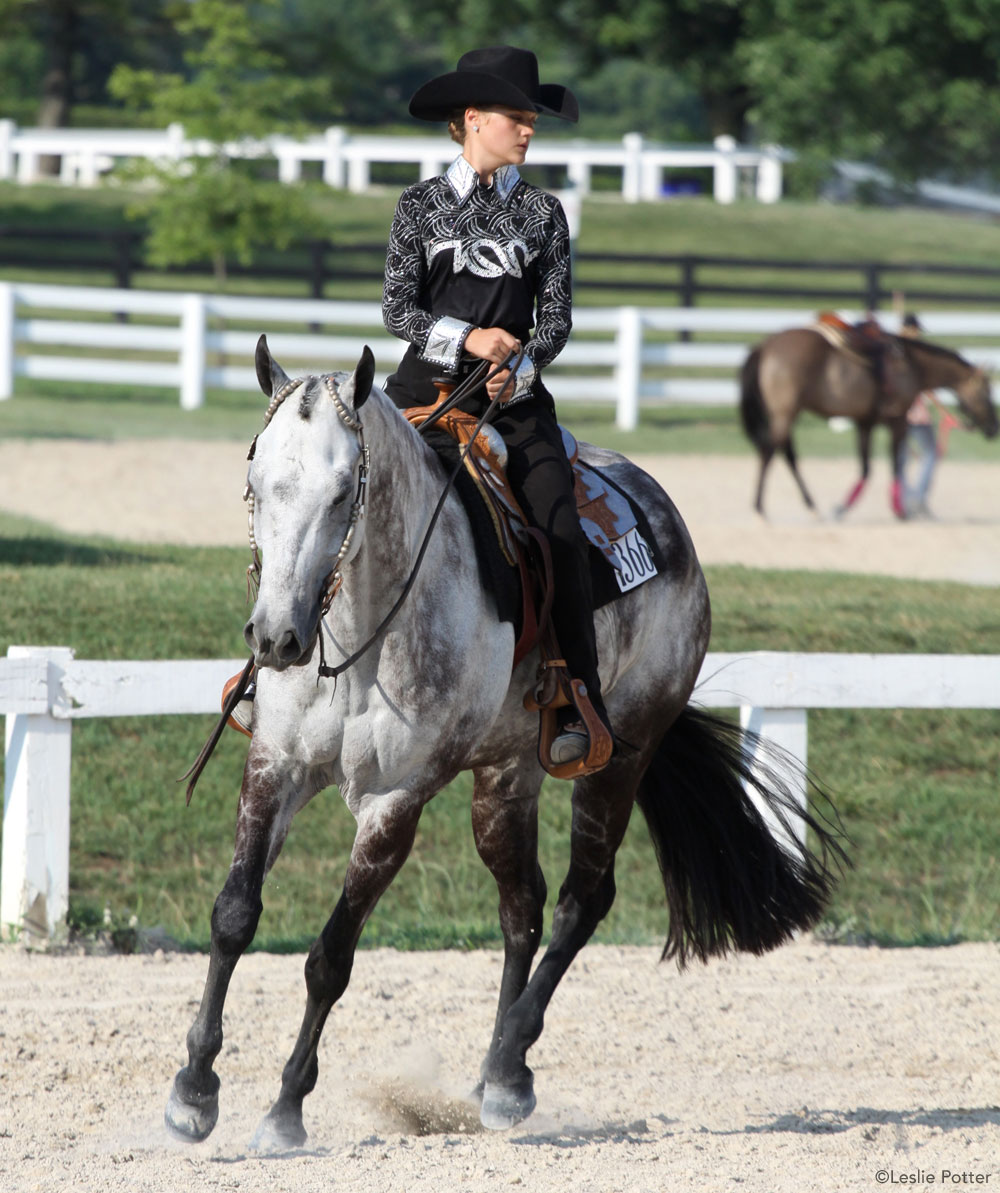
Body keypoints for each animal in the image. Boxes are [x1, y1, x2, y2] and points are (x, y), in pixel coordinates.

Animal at [164, 338, 844, 1154]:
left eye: (341, 493)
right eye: (256, 484)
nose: (275, 638)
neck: (360, 639)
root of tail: (667, 521)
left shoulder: (394, 804)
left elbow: (331, 957)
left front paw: (286, 1108)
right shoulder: (276, 766)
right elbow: (234, 914)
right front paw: (194, 1091)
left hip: (620, 760)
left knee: (583, 900)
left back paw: (511, 1067)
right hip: (504, 778)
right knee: (523, 905)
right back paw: (493, 1077)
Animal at [739, 326, 997, 517]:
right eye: (986, 392)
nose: (994, 427)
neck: (910, 364)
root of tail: (766, 346)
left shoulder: (865, 422)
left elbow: (866, 469)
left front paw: (842, 508)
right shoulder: (898, 422)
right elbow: (894, 465)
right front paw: (899, 510)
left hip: (786, 415)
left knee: (787, 454)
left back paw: (810, 505)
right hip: (785, 414)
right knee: (769, 452)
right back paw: (760, 508)